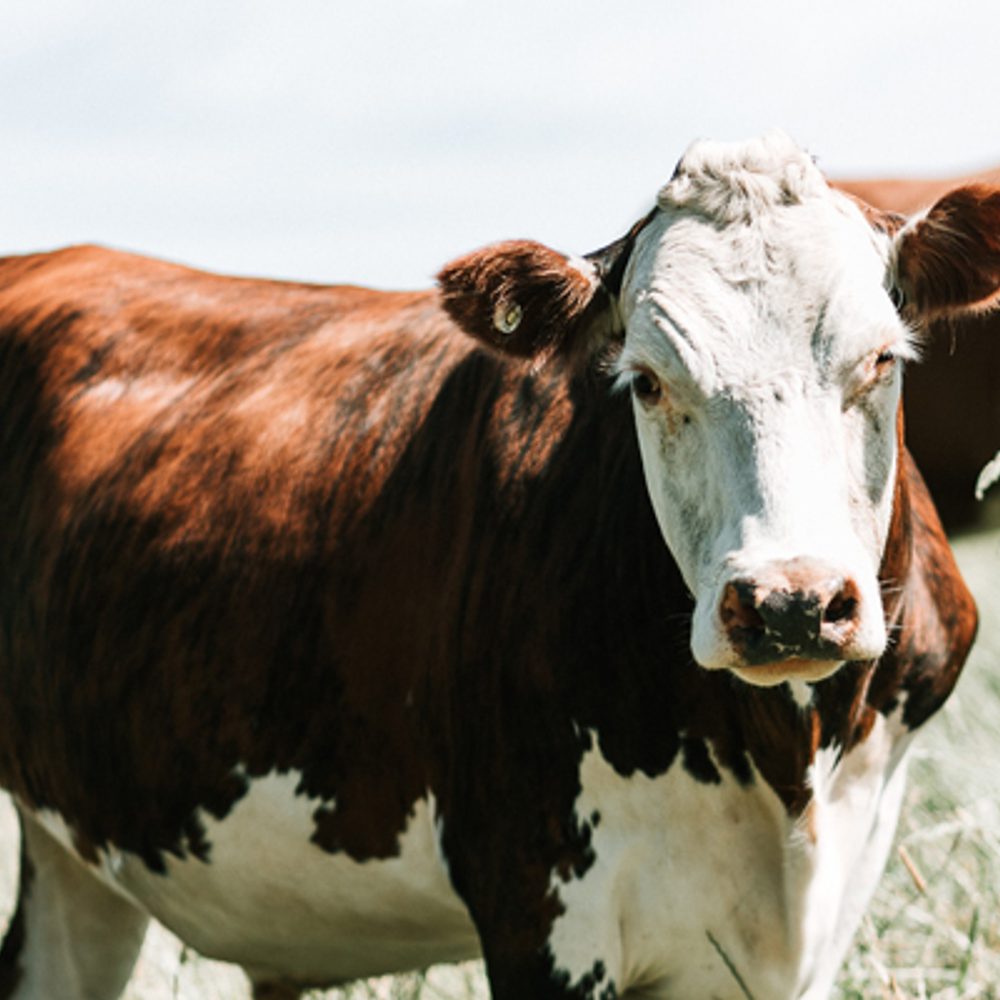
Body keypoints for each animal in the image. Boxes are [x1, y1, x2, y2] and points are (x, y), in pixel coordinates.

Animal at [0, 132, 993, 1000]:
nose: (791, 604)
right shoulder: (536, 902)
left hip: (72, 861)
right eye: (646, 380)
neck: (786, 760)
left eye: (881, 358)